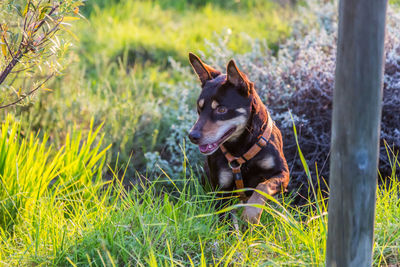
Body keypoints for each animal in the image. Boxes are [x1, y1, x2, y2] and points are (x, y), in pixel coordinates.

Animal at [188, 52, 290, 224]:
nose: (192, 136)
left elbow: (263, 187)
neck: (241, 146)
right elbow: (227, 223)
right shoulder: (222, 191)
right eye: (199, 109)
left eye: (221, 109)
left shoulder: (282, 174)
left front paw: (250, 214)